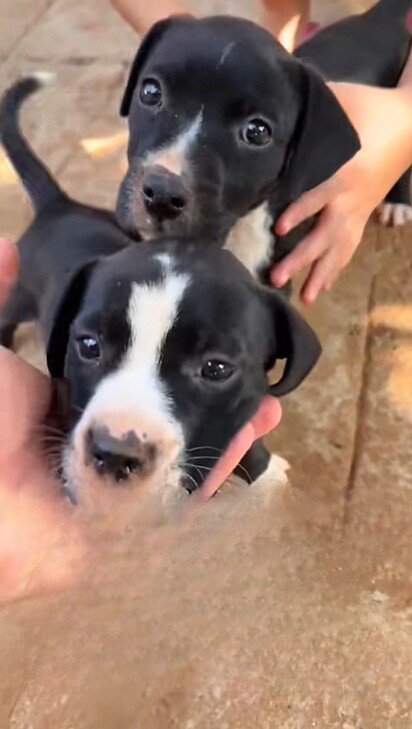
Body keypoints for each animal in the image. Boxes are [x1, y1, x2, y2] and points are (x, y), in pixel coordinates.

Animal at [0, 75, 322, 506]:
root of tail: (59, 205)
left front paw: (264, 473)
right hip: (19, 293)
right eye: (88, 345)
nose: (116, 454)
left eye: (216, 368)